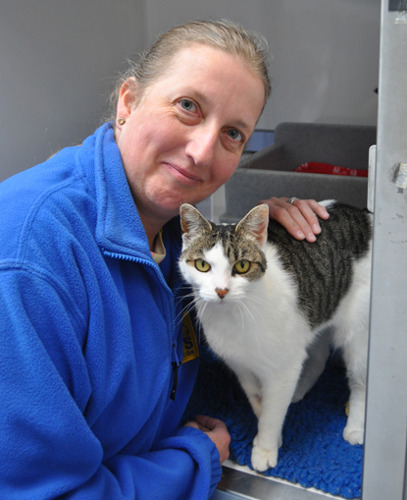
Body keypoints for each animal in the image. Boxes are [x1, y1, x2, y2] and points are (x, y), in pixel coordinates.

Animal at [178, 200, 372, 472]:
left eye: (242, 266)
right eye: (202, 265)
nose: (221, 290)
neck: (233, 317)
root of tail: (366, 216)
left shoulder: (283, 368)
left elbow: (271, 412)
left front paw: (265, 448)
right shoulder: (241, 367)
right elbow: (259, 401)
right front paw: (272, 434)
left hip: (358, 332)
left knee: (360, 381)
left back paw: (355, 427)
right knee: (318, 357)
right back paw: (299, 390)